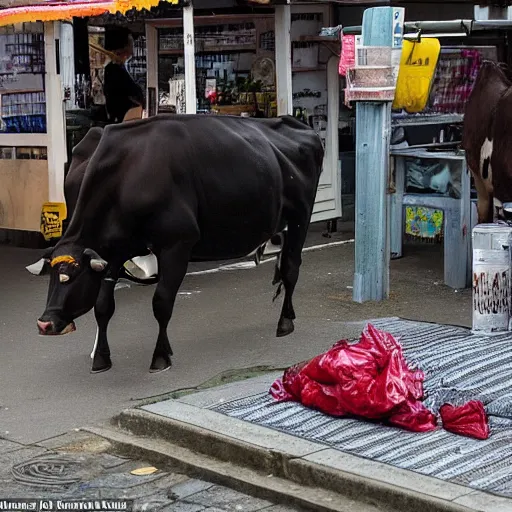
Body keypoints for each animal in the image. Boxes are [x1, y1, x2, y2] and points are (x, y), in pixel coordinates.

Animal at [28, 115, 322, 372]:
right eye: (50, 277)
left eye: (72, 276)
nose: (44, 324)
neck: (129, 174)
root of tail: (291, 120)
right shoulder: (113, 252)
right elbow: (102, 307)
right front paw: (101, 358)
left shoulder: (177, 245)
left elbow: (162, 302)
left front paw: (160, 356)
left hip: (301, 217)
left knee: (291, 267)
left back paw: (285, 322)